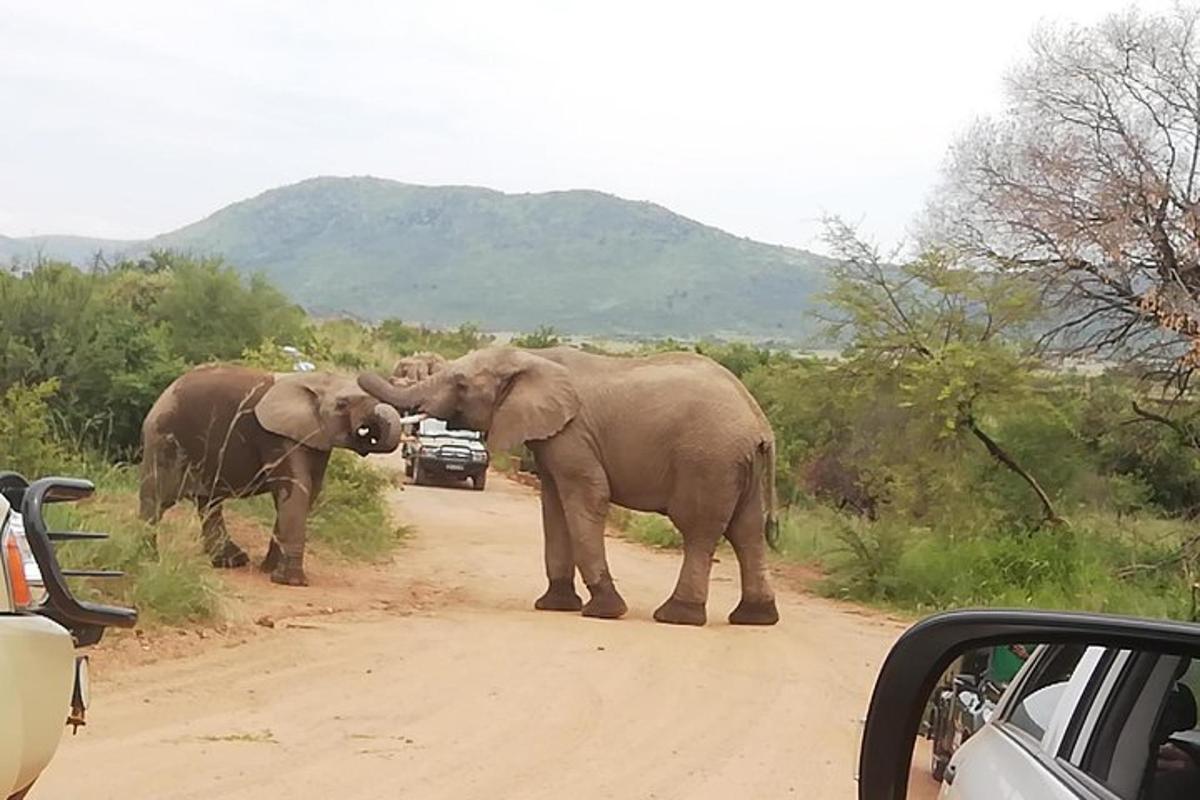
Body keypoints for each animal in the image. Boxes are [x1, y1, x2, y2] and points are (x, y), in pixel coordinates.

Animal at [138, 367, 405, 585]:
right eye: (342, 404)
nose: (367, 433)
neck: (315, 381)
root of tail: (163, 394)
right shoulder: (277, 437)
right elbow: (296, 489)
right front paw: (291, 582)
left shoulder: (312, 438)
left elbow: (308, 493)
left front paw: (268, 571)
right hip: (164, 438)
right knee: (158, 499)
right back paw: (148, 557)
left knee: (209, 503)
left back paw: (232, 562)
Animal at [355, 345, 782, 623]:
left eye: (460, 384)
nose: (366, 427)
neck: (531, 355)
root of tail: (760, 423)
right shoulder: (552, 438)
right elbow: (554, 505)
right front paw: (554, 605)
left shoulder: (573, 434)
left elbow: (586, 498)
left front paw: (604, 611)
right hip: (738, 466)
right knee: (747, 533)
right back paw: (755, 617)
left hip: (707, 460)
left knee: (699, 530)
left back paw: (678, 615)